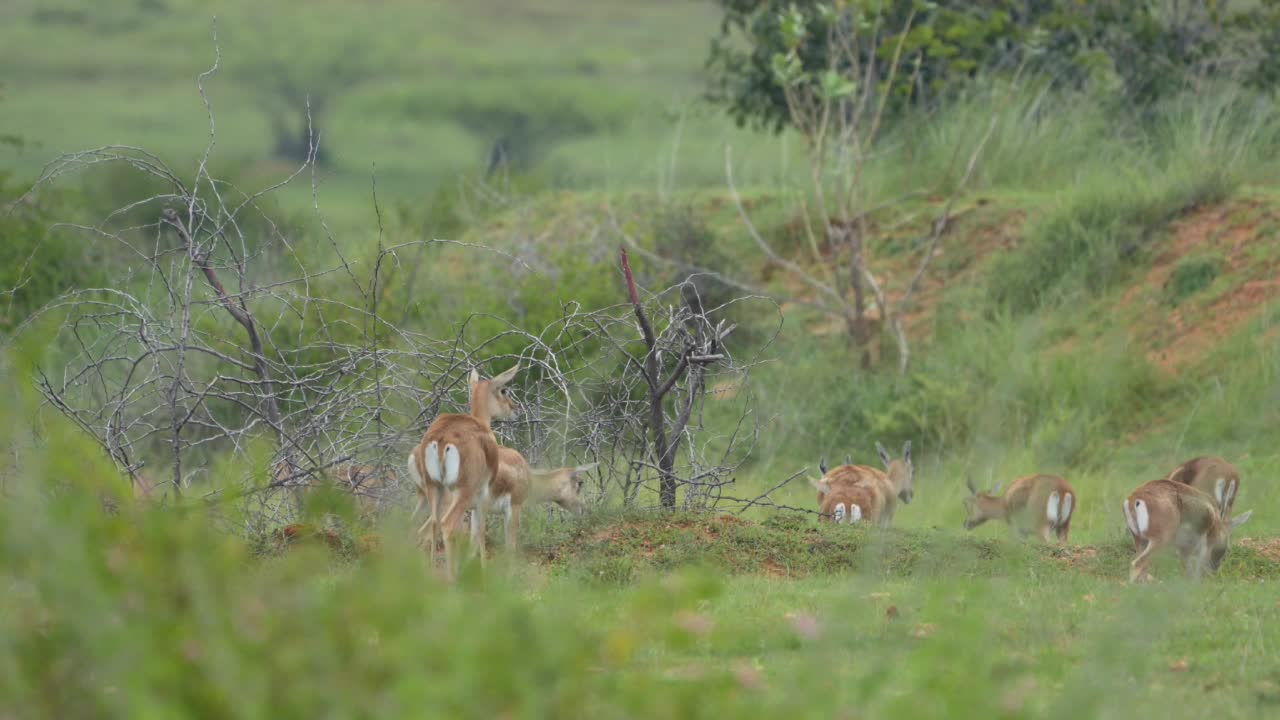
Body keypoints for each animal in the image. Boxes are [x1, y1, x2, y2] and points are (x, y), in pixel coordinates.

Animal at [401, 361, 517, 573]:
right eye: (503, 390)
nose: (515, 409)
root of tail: (441, 440)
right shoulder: (483, 492)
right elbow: (480, 529)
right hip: (461, 492)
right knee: (447, 525)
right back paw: (452, 575)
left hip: (433, 488)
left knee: (432, 523)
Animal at [1121, 476, 1249, 584]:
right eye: (1228, 546)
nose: (1215, 568)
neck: (1213, 517)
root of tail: (1135, 498)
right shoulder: (1203, 546)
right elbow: (1197, 568)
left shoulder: (1184, 550)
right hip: (1160, 541)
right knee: (1137, 564)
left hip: (1140, 541)